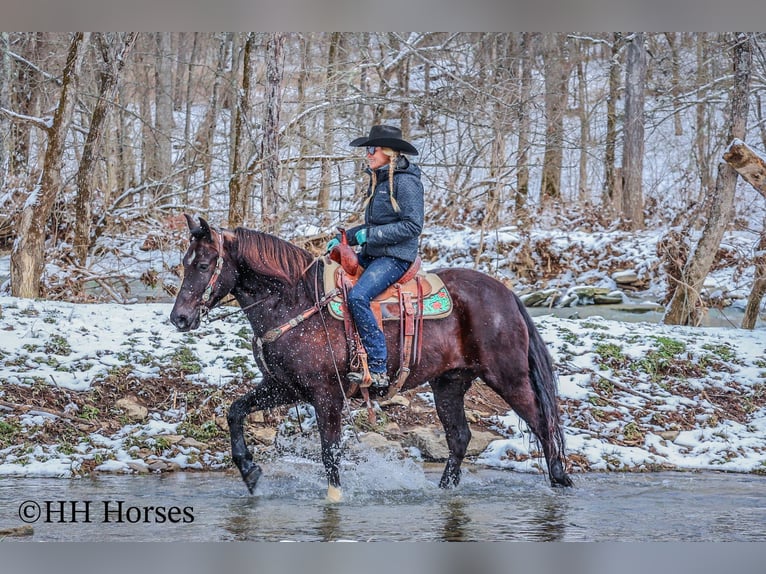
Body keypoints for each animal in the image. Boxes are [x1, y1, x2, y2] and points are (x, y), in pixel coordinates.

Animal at [170, 215, 573, 501]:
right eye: (186, 264)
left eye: (203, 265)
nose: (180, 318)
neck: (295, 301)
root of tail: (506, 294)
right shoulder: (285, 387)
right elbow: (235, 411)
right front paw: (250, 472)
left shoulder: (326, 395)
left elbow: (329, 451)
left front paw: (334, 497)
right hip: (449, 383)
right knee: (459, 437)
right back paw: (445, 490)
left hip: (509, 377)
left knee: (543, 424)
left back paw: (561, 481)